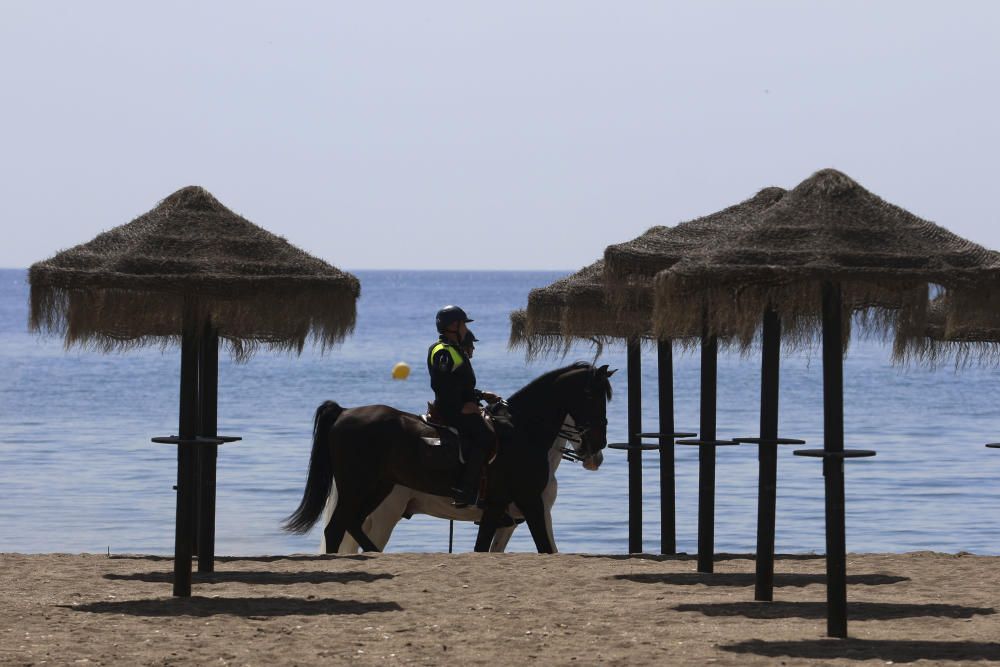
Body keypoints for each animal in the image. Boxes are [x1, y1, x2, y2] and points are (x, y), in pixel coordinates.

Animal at [280, 362, 608, 556]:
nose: (597, 451)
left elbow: (487, 548)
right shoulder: (532, 506)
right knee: (338, 529)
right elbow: (546, 548)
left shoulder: (503, 515)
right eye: (593, 396)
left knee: (350, 527)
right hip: (370, 499)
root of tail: (345, 412)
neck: (521, 432)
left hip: (376, 490)